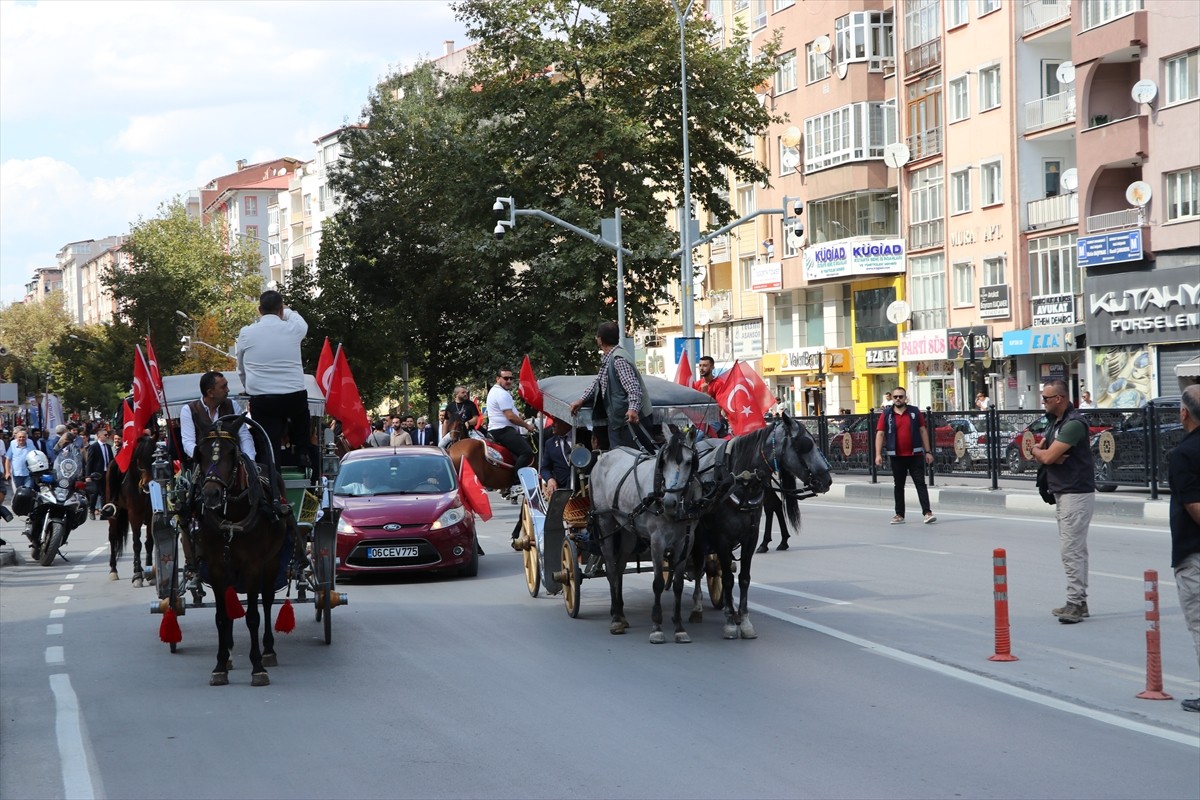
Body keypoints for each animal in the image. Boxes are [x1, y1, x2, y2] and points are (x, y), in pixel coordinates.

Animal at [106, 434, 157, 585]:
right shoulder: (135, 514)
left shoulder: (151, 515)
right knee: (112, 537)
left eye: (154, 458)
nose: (147, 485)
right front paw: (137, 575)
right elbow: (136, 544)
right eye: (139, 460)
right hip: (114, 516)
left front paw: (149, 573)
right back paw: (113, 570)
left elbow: (149, 543)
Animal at [196, 417, 292, 686]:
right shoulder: (217, 567)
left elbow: (253, 616)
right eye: (200, 453)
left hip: (272, 562)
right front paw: (220, 665)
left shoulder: (253, 567)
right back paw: (228, 652)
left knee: (267, 601)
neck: (231, 518)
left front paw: (257, 667)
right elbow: (221, 616)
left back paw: (268, 650)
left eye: (232, 453)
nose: (211, 494)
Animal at [588, 431, 705, 642]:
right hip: (604, 521)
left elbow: (678, 584)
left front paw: (679, 627)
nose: (669, 502)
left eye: (689, 461)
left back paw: (620, 613)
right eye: (664, 461)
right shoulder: (657, 541)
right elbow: (657, 583)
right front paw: (657, 627)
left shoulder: (686, 541)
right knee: (611, 569)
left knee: (619, 569)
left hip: (626, 529)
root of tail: (604, 456)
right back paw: (616, 619)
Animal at [691, 417, 830, 642]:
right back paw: (696, 607)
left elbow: (744, 579)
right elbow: (728, 579)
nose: (827, 479)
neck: (739, 482)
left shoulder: (750, 538)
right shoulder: (721, 539)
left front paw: (744, 620)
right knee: (696, 565)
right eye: (804, 445)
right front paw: (731, 622)